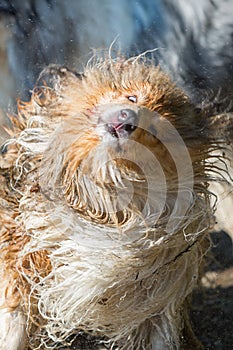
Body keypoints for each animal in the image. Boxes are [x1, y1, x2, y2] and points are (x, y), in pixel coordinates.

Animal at [0, 56, 231, 348]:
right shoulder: (21, 254)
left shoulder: (155, 302)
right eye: (132, 97)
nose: (128, 119)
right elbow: (14, 317)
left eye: (156, 132)